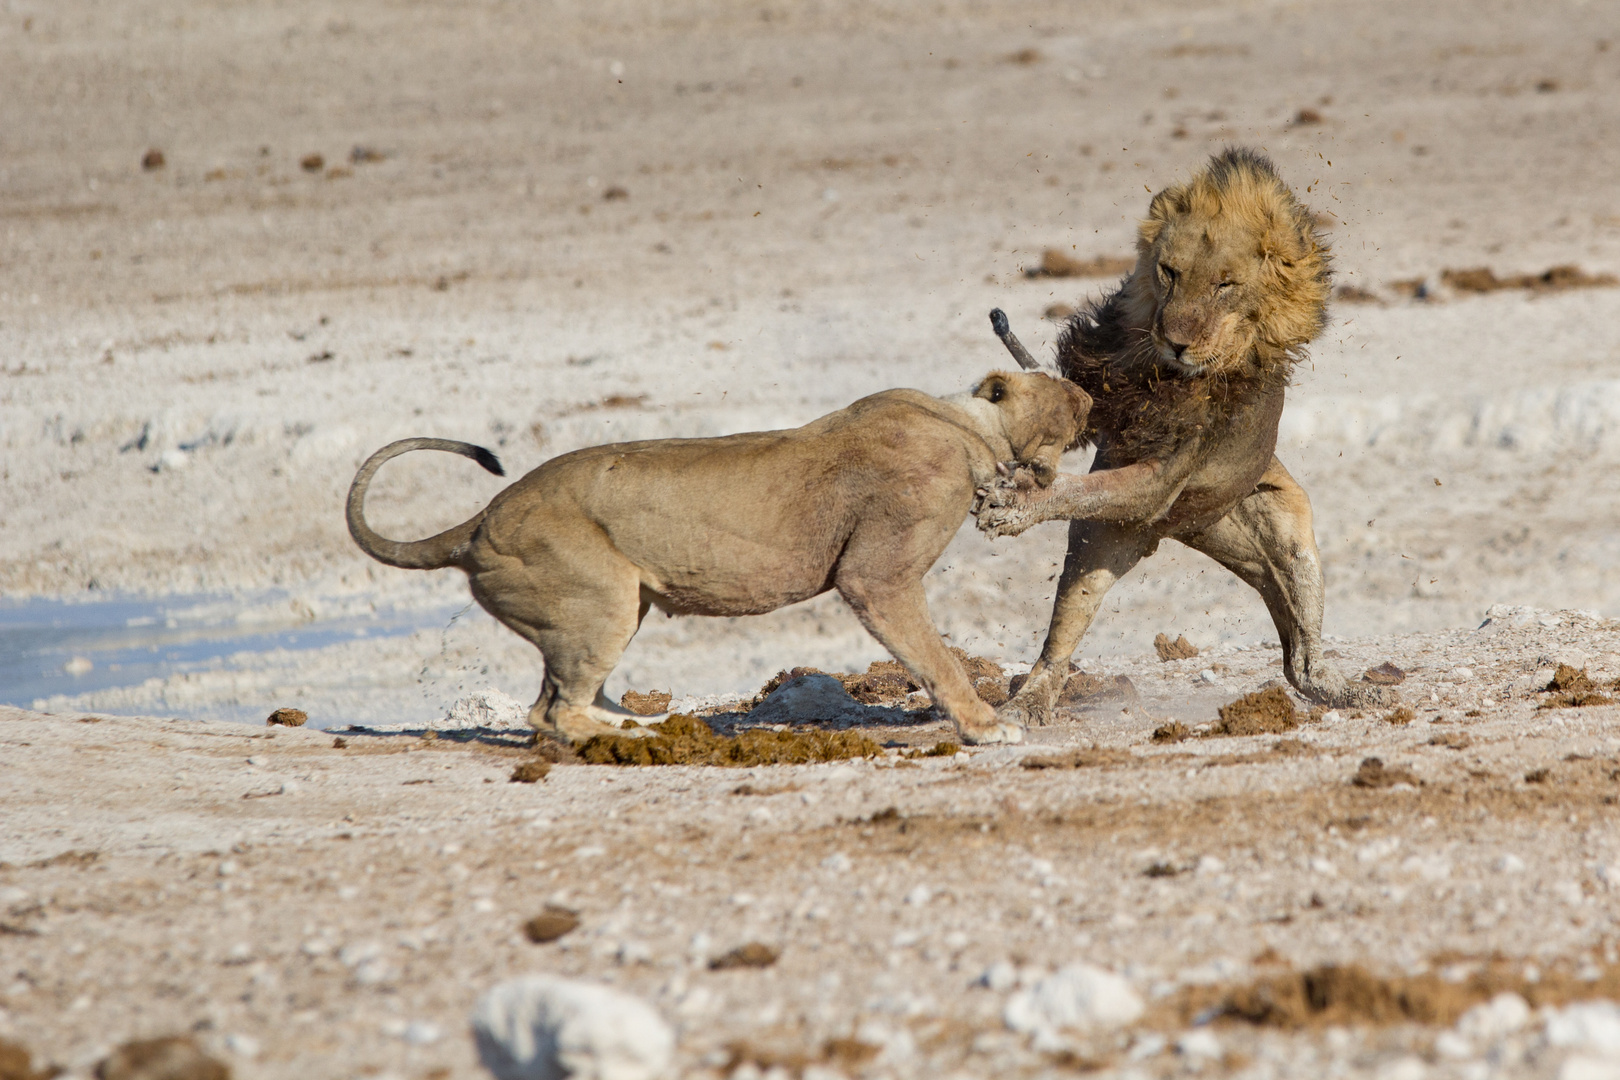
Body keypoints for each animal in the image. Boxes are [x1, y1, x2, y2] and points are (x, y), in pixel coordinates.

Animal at [351, 369, 1088, 744]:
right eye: (1062, 387)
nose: (1089, 395)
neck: (965, 423)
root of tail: (478, 521)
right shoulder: (877, 575)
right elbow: (935, 658)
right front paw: (986, 726)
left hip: (600, 608)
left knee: (553, 702)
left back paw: (644, 721)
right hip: (601, 600)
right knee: (554, 713)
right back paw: (645, 737)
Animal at [972, 143, 1393, 722]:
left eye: (1224, 285)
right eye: (1169, 272)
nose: (1175, 342)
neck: (1168, 373)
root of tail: (1183, 526)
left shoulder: (1163, 477)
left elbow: (1082, 487)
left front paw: (1012, 502)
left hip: (1279, 530)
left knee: (1302, 663)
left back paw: (1353, 692)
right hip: (1103, 540)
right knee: (1060, 641)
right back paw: (1028, 702)